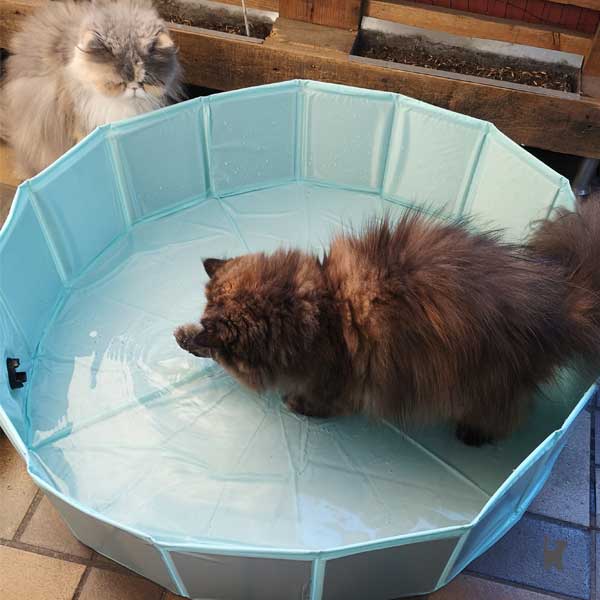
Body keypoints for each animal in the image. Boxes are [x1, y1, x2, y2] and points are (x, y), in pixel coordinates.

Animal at [173, 204, 600, 442]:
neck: (322, 307)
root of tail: (561, 304)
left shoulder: (336, 384)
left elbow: (318, 401)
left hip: (490, 382)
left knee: (508, 414)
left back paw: (473, 433)